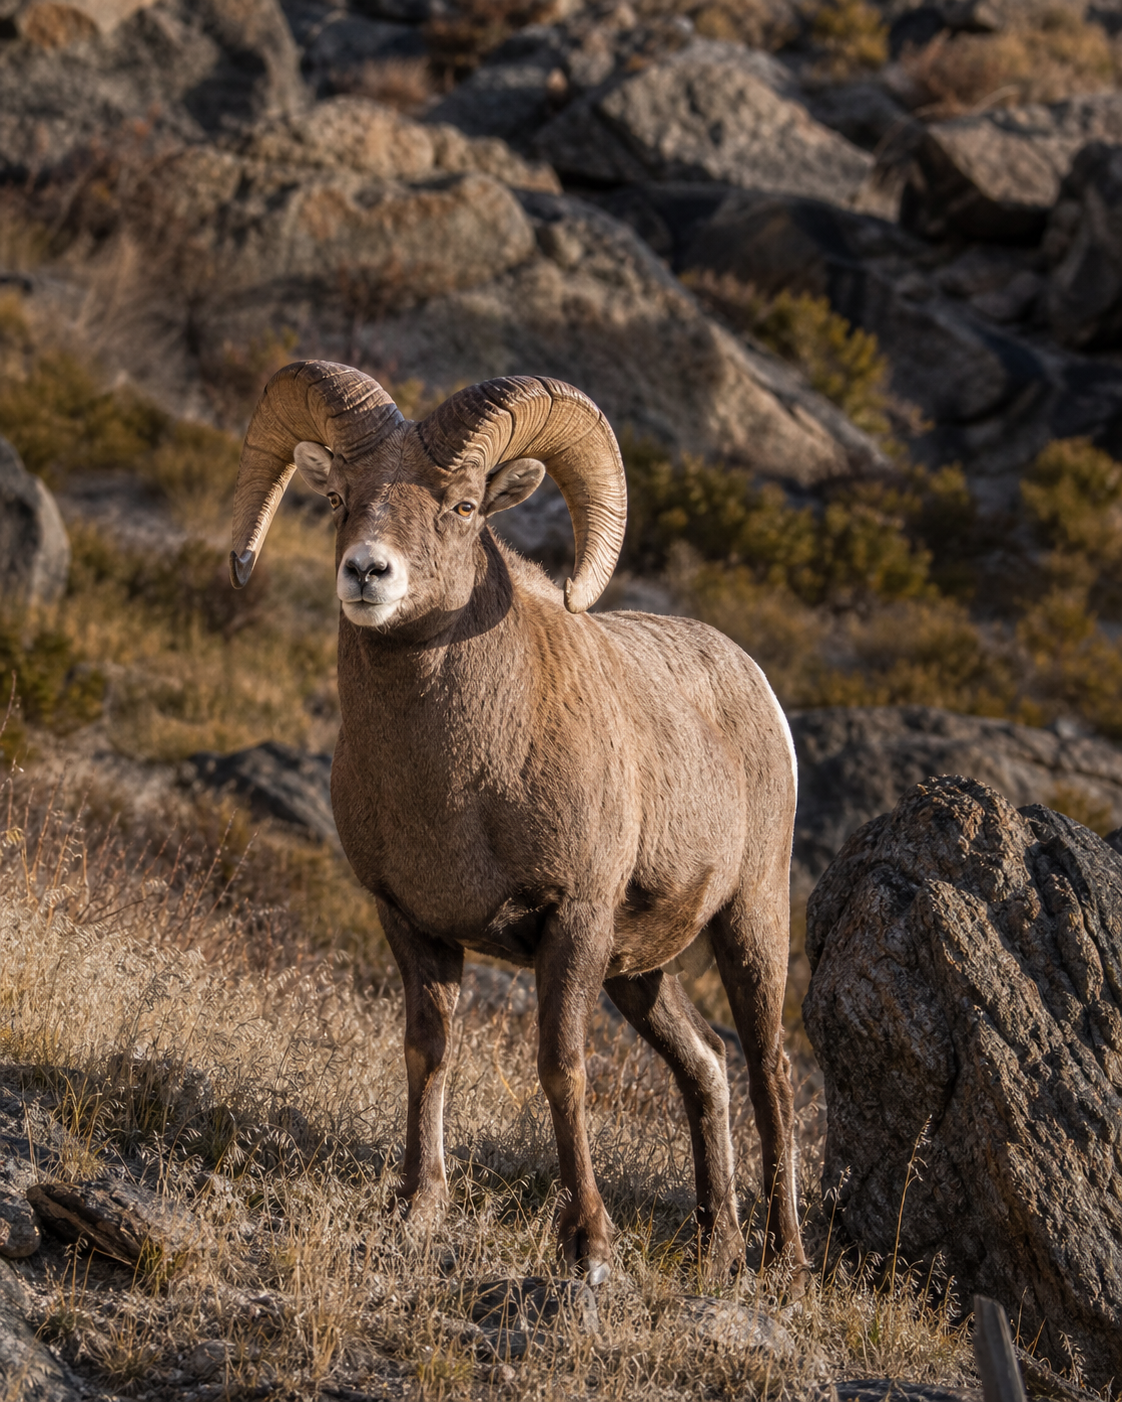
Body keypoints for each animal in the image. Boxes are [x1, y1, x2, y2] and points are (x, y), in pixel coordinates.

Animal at [231, 360, 807, 1288]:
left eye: (464, 506)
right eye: (341, 497)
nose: (368, 573)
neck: (458, 780)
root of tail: (753, 682)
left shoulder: (572, 922)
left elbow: (561, 1070)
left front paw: (590, 1245)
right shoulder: (414, 925)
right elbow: (428, 1051)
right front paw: (418, 1206)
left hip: (749, 919)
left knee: (771, 1071)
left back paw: (784, 1259)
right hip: (638, 974)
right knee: (707, 1066)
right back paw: (715, 1249)